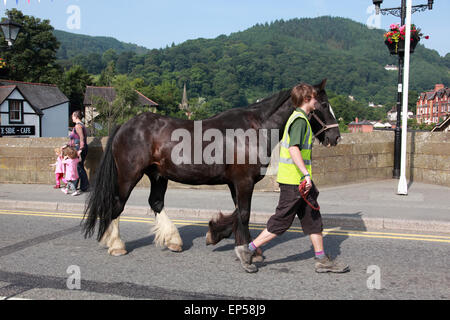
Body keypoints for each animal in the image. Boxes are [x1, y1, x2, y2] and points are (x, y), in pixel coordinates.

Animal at [82, 79, 340, 262]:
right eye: (323, 105)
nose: (335, 137)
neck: (255, 128)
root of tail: (125, 125)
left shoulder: (236, 183)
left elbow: (239, 212)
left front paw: (225, 237)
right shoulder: (243, 181)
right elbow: (243, 213)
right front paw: (241, 248)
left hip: (158, 175)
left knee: (155, 202)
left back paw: (173, 240)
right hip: (129, 175)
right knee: (117, 204)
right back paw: (116, 245)